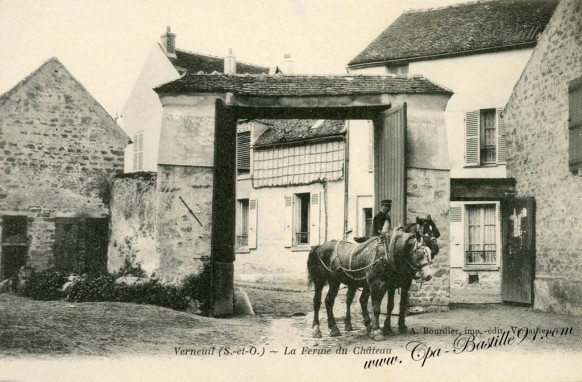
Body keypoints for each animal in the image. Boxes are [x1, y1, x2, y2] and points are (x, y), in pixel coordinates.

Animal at [308, 216, 440, 338]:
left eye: (435, 231)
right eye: (420, 253)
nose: (429, 274)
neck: (387, 253)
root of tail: (319, 247)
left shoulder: (397, 284)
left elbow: (396, 305)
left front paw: (394, 327)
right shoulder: (377, 284)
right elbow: (377, 307)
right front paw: (377, 331)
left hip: (342, 282)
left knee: (335, 300)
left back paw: (338, 327)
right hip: (322, 281)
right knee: (319, 301)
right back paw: (318, 329)